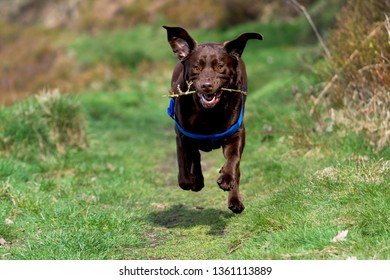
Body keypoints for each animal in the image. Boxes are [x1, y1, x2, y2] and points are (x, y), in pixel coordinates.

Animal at [163, 26, 264, 214]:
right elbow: (183, 167)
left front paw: (226, 178)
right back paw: (197, 181)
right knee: (194, 156)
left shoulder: (237, 134)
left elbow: (233, 160)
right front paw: (192, 181)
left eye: (220, 66)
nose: (206, 85)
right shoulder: (182, 136)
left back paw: (235, 200)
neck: (208, 113)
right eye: (196, 67)